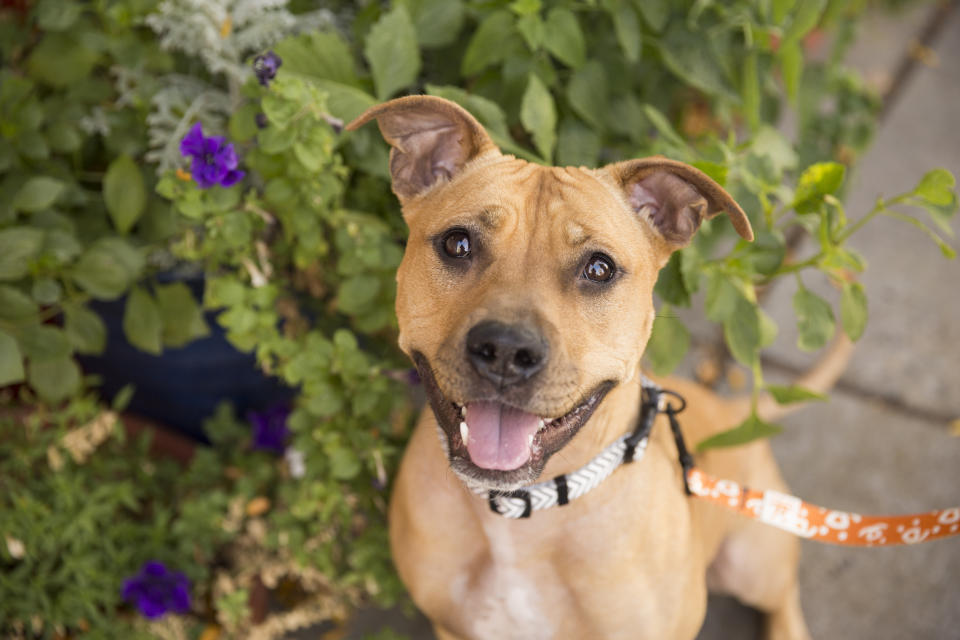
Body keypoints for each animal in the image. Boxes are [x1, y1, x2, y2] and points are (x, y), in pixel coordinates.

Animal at [348, 96, 852, 640]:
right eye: (457, 243)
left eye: (599, 268)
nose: (506, 350)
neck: (521, 513)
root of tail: (732, 411)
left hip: (753, 558)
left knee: (784, 597)